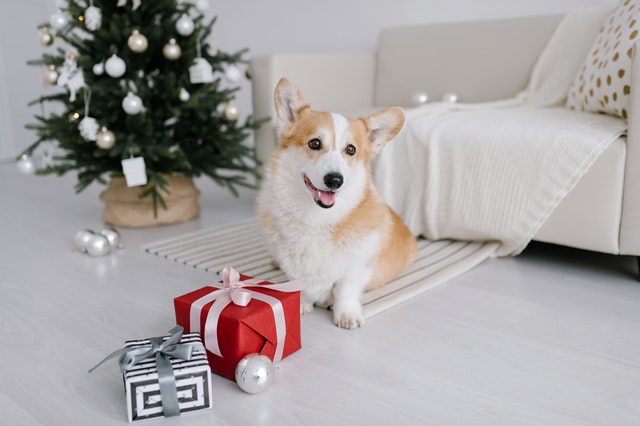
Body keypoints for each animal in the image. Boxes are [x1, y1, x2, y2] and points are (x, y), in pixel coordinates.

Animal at [256, 77, 420, 330]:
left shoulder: (356, 267)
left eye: (351, 150)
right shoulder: (293, 263)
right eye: (314, 143)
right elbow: (300, 283)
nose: (334, 180)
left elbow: (345, 291)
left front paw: (346, 314)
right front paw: (302, 303)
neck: (316, 217)